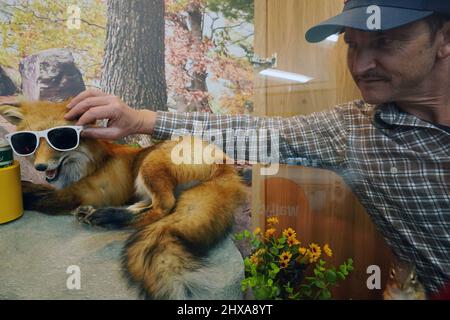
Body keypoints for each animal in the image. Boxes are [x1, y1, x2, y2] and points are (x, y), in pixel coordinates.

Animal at [0, 100, 246, 300]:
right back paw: (100, 213)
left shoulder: (81, 194)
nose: (40, 167)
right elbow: (36, 189)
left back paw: (107, 217)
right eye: (29, 143)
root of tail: (225, 163)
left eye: (60, 139)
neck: (91, 164)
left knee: (163, 207)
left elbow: (37, 197)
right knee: (146, 205)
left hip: (150, 165)